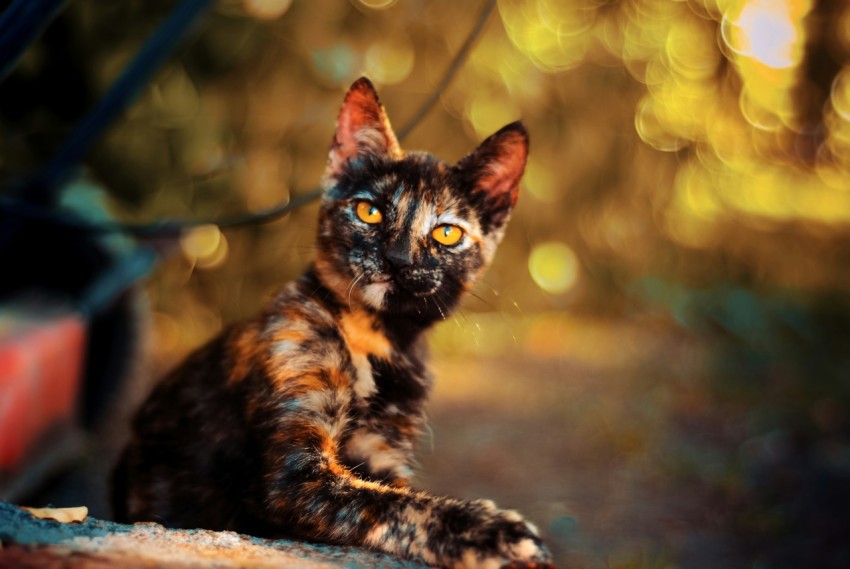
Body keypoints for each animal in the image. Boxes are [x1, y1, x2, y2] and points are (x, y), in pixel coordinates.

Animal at [112, 76, 548, 568]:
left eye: (447, 232)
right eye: (370, 211)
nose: (397, 259)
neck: (376, 342)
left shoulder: (383, 455)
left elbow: (398, 494)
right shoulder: (294, 476)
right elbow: (392, 506)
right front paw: (491, 532)